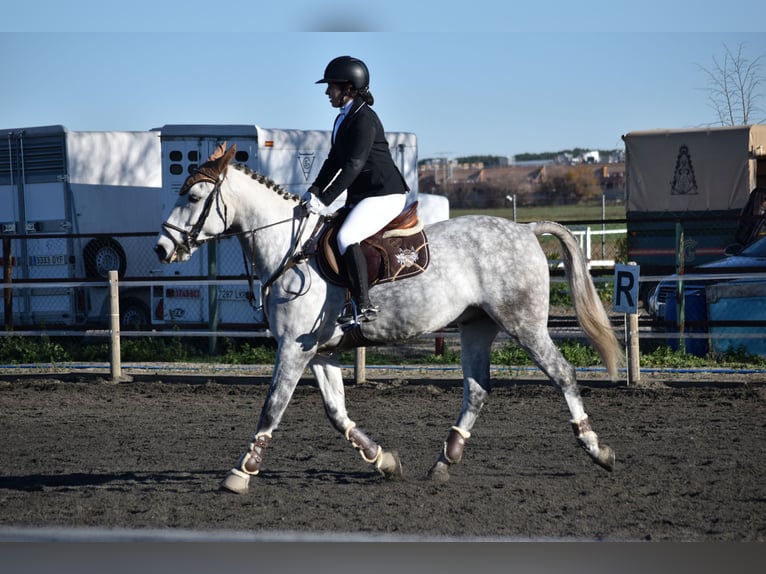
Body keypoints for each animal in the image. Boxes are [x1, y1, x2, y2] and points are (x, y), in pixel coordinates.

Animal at [156, 144, 624, 496]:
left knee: (562, 374)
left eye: (194, 198)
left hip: (523, 323)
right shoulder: (318, 351)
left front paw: (242, 470)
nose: (162, 248)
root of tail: (525, 230)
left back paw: (596, 449)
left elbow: (272, 406)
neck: (289, 249)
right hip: (476, 326)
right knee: (477, 389)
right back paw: (444, 460)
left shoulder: (292, 348)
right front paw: (382, 460)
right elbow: (335, 411)